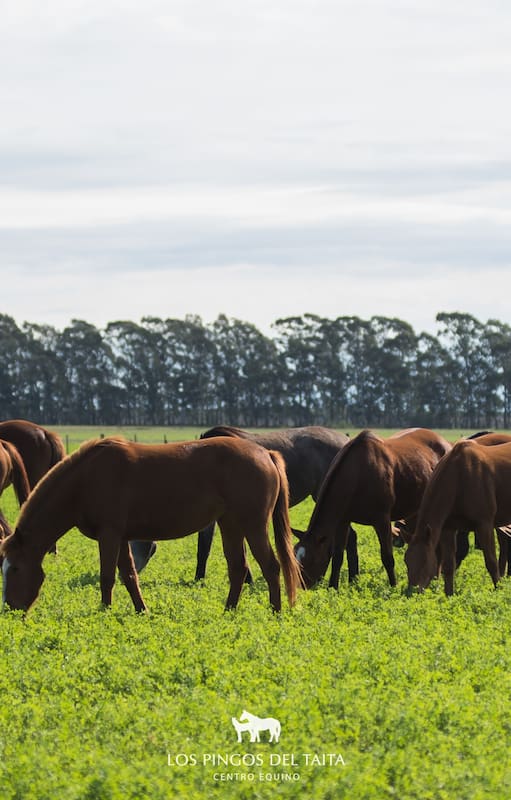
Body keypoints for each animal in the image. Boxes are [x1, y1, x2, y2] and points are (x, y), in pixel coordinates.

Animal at [0, 436, 302, 614]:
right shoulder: (121, 537)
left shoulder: (109, 535)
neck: (84, 480)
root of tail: (265, 453)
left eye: (14, 568)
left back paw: (275, 611)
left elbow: (107, 576)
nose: (11, 607)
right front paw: (140, 610)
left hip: (253, 525)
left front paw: (104, 612)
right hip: (230, 525)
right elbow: (129, 575)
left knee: (271, 567)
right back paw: (228, 611)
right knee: (238, 568)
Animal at [130, 425, 359, 586]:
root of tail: (346, 439)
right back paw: (353, 577)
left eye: (141, 547)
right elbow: (204, 547)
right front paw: (199, 579)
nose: (132, 576)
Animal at [294, 428, 452, 589]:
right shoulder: (343, 521)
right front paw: (333, 588)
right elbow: (337, 556)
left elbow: (387, 557)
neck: (358, 473)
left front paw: (393, 587)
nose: (301, 588)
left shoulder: (382, 521)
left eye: (310, 560)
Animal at [405, 439, 511, 595]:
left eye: (424, 562)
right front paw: (449, 595)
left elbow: (491, 562)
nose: (410, 593)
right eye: (406, 561)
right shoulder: (448, 529)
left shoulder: (484, 524)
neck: (459, 477)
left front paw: (498, 591)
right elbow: (448, 566)